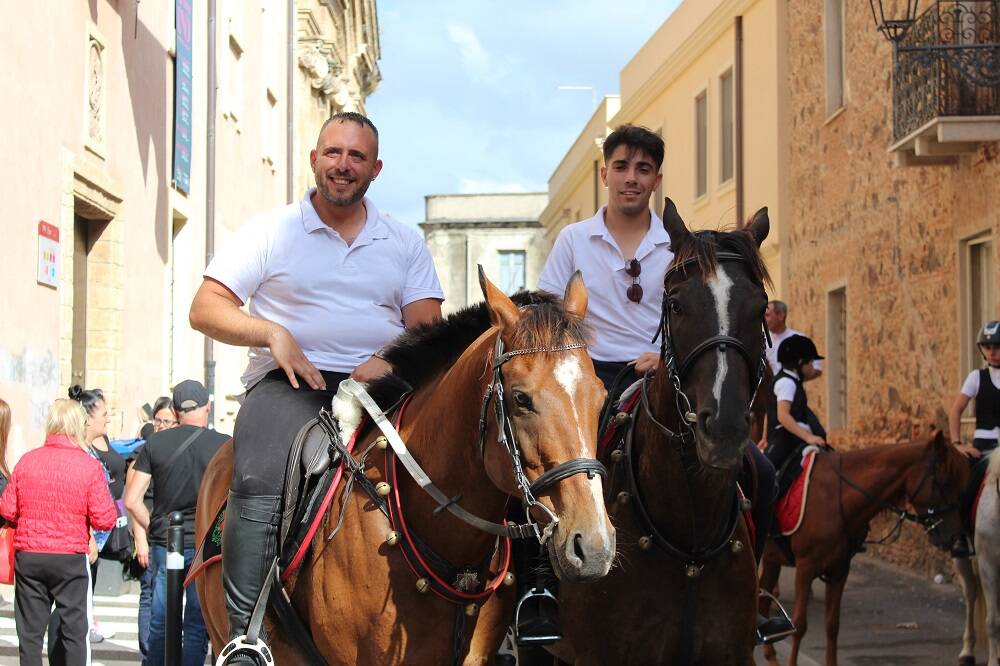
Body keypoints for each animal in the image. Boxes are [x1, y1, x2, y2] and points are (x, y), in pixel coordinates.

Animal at [756, 430, 968, 664]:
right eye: (944, 482)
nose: (955, 538)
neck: (835, 496)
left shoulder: (839, 570)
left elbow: (832, 626)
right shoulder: (805, 569)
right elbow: (799, 626)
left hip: (772, 559)